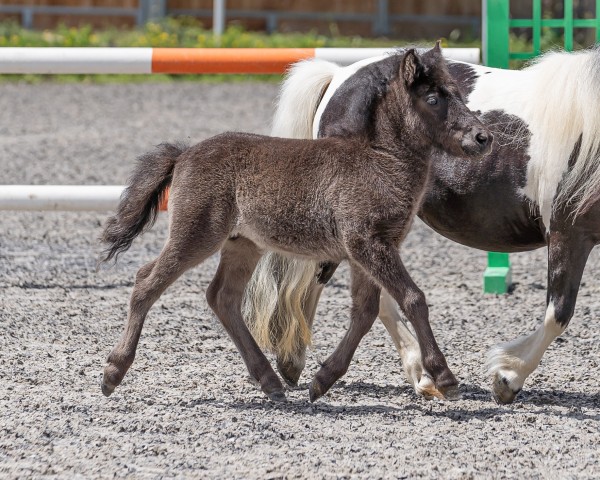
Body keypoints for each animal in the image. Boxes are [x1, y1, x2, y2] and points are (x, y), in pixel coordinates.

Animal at [99, 47, 492, 404]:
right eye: (433, 99)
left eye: (459, 94)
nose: (483, 138)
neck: (378, 160)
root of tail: (184, 154)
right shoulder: (367, 243)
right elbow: (413, 298)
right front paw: (445, 377)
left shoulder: (371, 249)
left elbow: (364, 313)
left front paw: (323, 380)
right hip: (196, 234)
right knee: (146, 283)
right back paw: (113, 372)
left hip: (243, 243)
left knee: (222, 297)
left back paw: (270, 382)